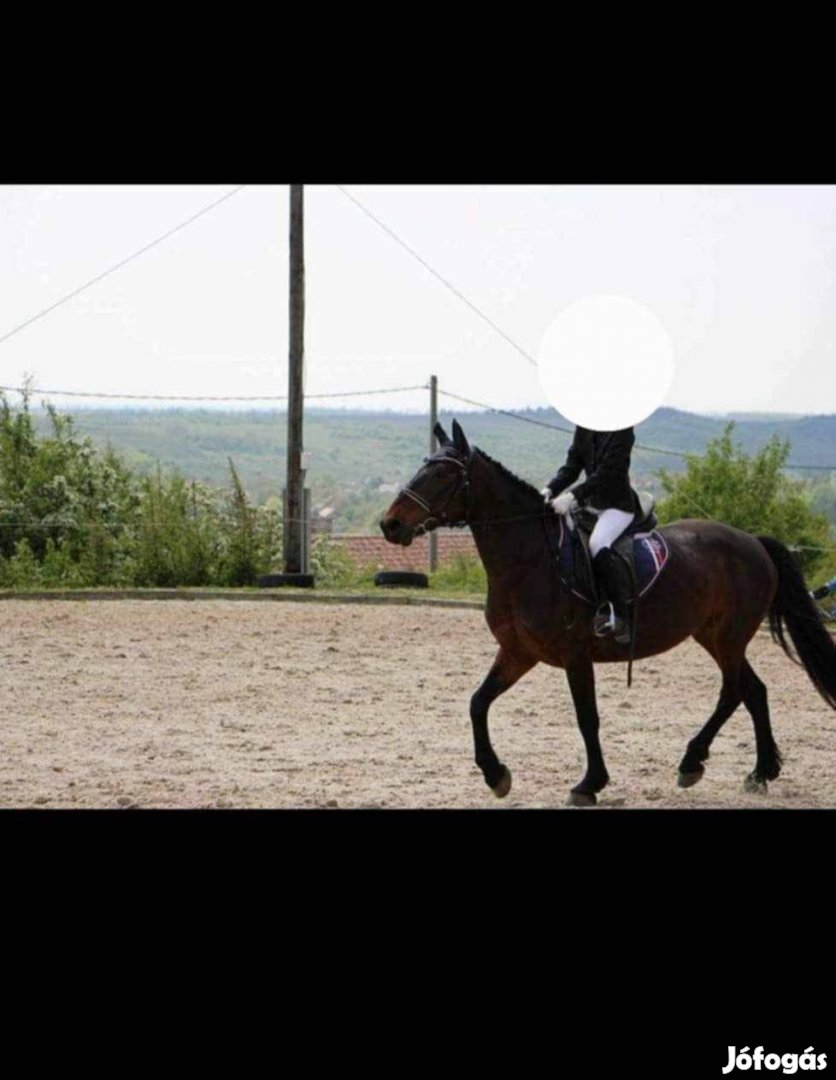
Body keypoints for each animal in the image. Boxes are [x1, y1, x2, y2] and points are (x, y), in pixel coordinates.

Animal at [382, 416, 836, 807]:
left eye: (442, 475)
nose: (391, 525)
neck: (529, 559)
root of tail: (755, 542)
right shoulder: (519, 652)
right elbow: (478, 703)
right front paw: (497, 776)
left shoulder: (575, 655)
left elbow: (587, 717)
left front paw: (589, 784)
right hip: (712, 635)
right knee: (753, 690)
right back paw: (758, 773)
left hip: (728, 637)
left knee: (734, 691)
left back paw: (694, 762)